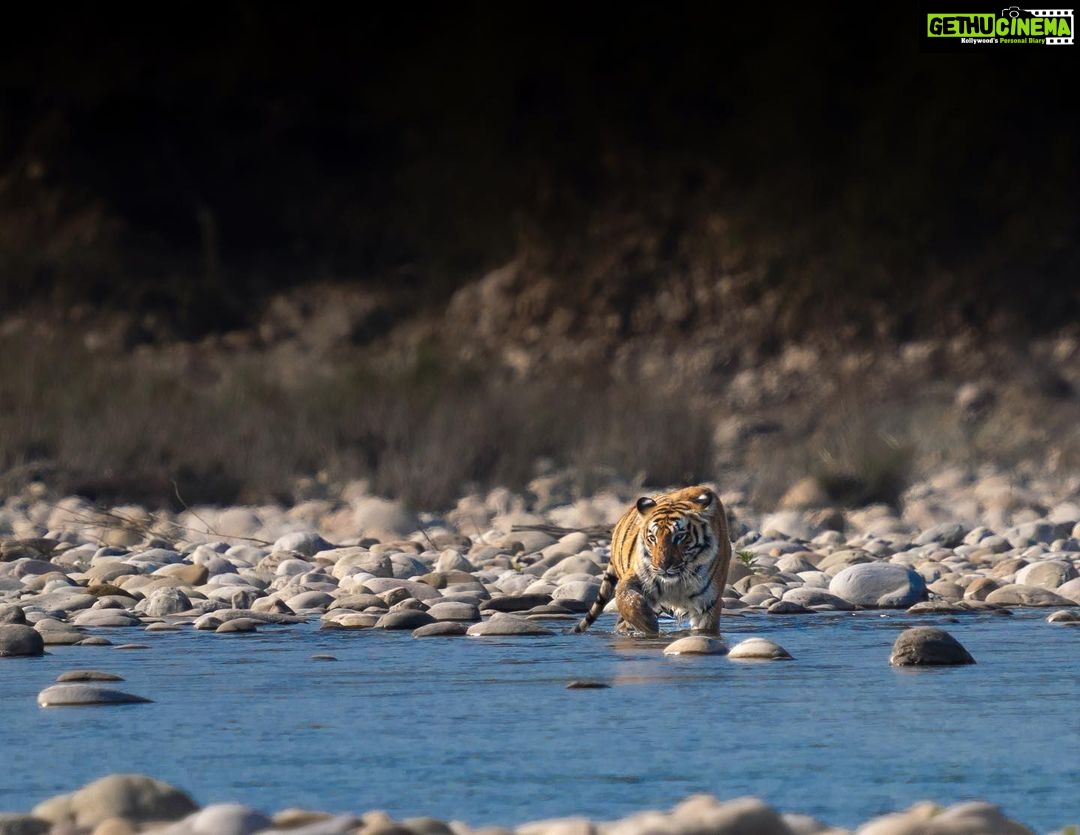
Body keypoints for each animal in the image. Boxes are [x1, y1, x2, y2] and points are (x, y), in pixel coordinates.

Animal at [572, 485, 733, 637]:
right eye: (652, 538)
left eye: (680, 536)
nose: (663, 566)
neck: (677, 582)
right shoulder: (638, 576)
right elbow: (626, 599)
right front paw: (649, 625)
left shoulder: (708, 603)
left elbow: (705, 631)